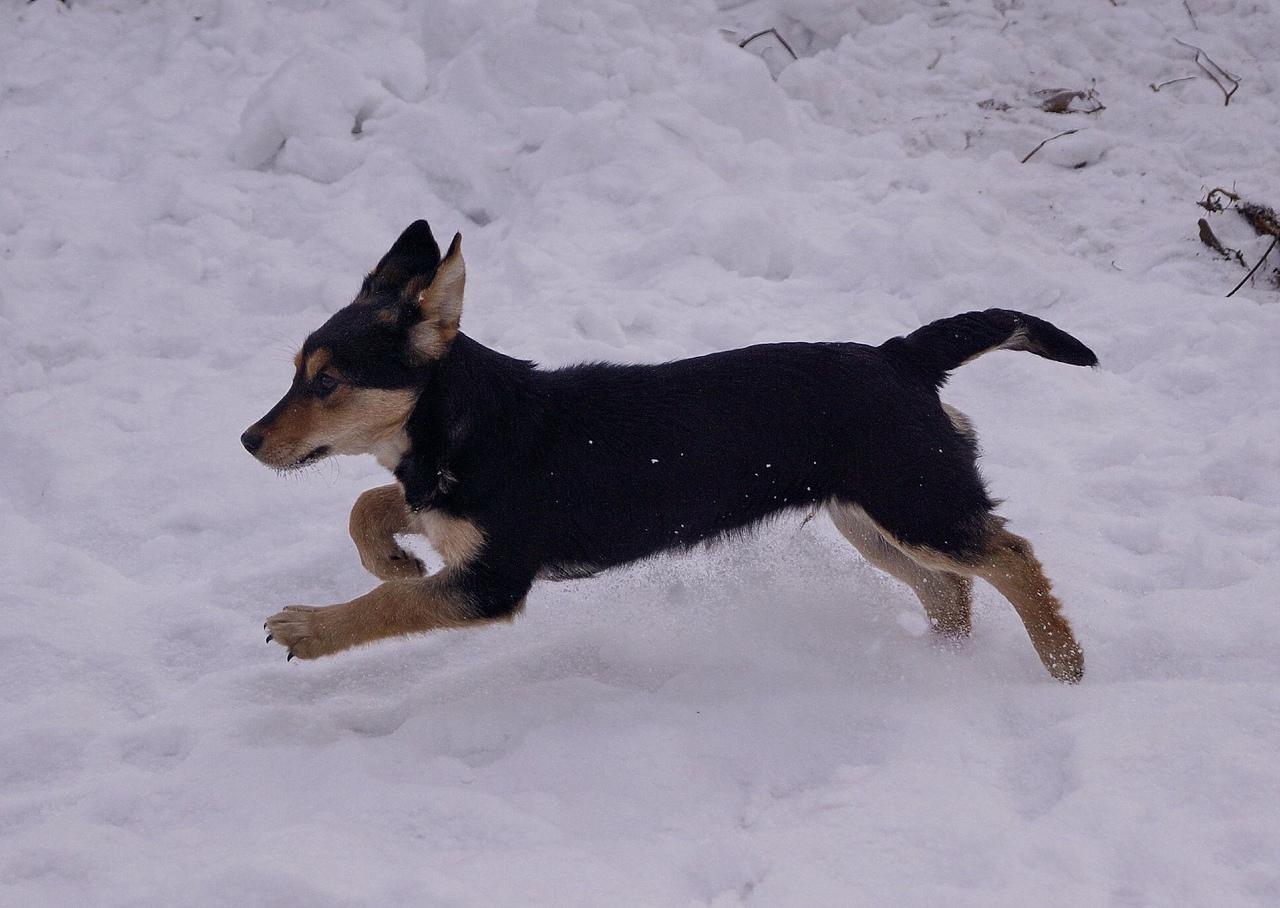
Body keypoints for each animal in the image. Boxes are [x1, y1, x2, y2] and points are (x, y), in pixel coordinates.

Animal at [244, 218, 1095, 681]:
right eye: (295, 372)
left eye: (327, 383)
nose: (248, 441)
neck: (463, 420)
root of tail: (902, 357)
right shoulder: (446, 517)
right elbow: (372, 503)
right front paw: (391, 556)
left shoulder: (492, 580)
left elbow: (391, 603)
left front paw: (308, 628)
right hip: (872, 517)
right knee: (950, 590)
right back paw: (941, 663)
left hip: (916, 501)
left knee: (1013, 555)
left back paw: (1064, 664)